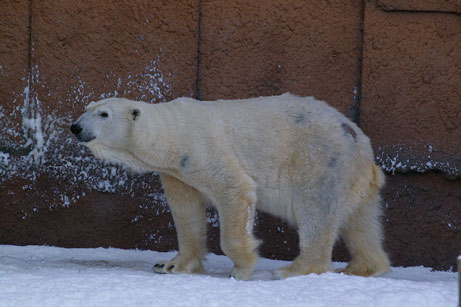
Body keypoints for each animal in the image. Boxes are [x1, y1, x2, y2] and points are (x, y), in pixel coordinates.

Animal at [71, 92, 388, 280]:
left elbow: (235, 188)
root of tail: (359, 140)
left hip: (321, 160)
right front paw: (170, 265)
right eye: (86, 108)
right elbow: (186, 212)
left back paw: (292, 269)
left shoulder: (203, 149)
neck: (173, 133)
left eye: (104, 114)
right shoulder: (178, 172)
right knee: (360, 222)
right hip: (352, 177)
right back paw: (363, 267)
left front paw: (242, 266)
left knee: (316, 212)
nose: (75, 127)